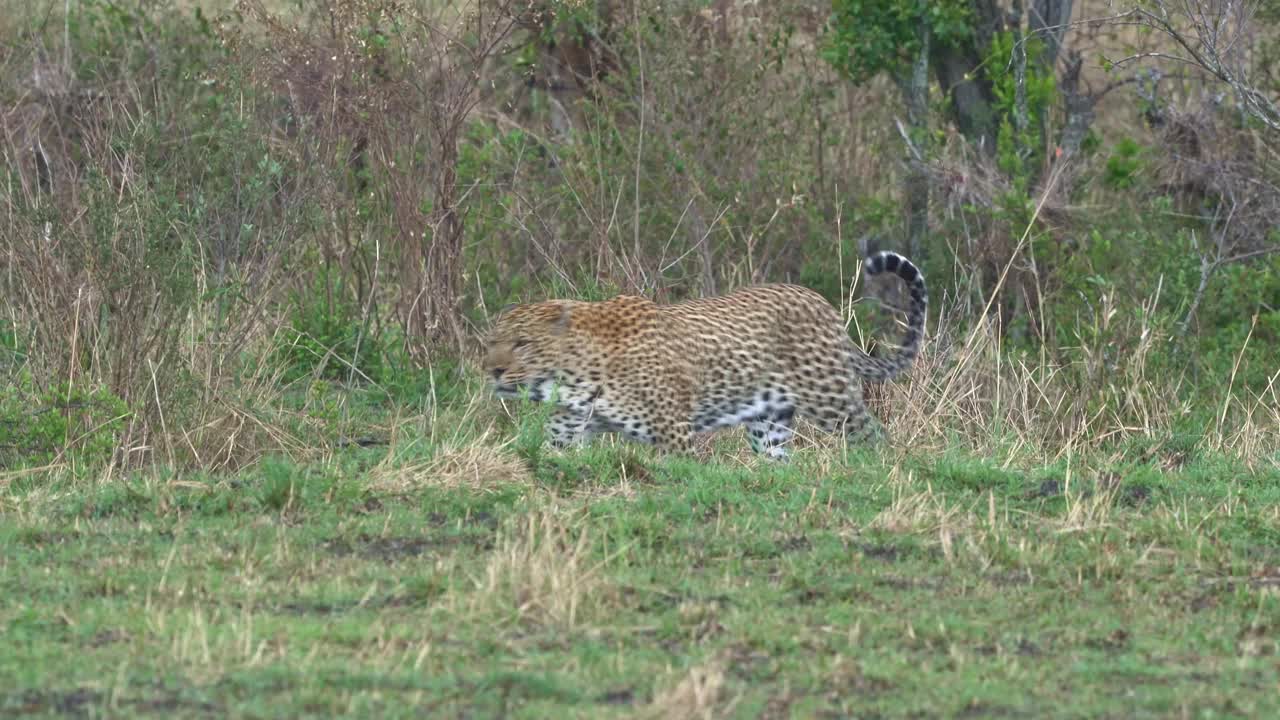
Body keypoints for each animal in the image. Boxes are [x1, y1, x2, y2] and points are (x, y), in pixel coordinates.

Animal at [483, 249, 926, 456]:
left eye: (522, 344)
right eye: (492, 343)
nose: (493, 372)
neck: (575, 380)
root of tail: (823, 305)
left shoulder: (674, 435)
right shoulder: (567, 431)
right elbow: (550, 457)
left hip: (830, 400)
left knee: (874, 437)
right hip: (768, 424)